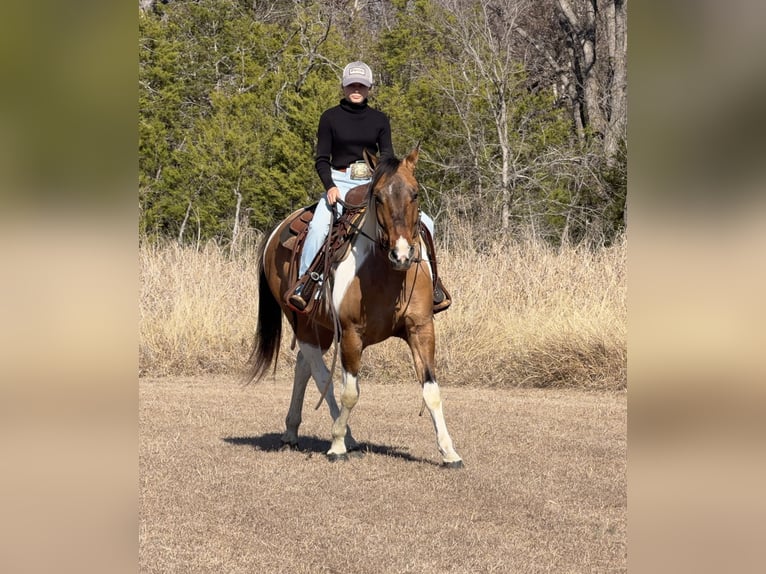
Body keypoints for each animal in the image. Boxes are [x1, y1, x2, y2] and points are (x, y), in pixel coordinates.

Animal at [246, 147, 463, 467]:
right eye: (378, 197)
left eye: (415, 193)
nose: (401, 254)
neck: (386, 272)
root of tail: (279, 229)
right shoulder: (350, 334)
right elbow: (350, 392)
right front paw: (337, 445)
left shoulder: (421, 328)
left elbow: (432, 390)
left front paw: (449, 452)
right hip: (303, 323)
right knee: (321, 373)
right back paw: (345, 438)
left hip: (320, 329)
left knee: (304, 367)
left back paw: (291, 432)